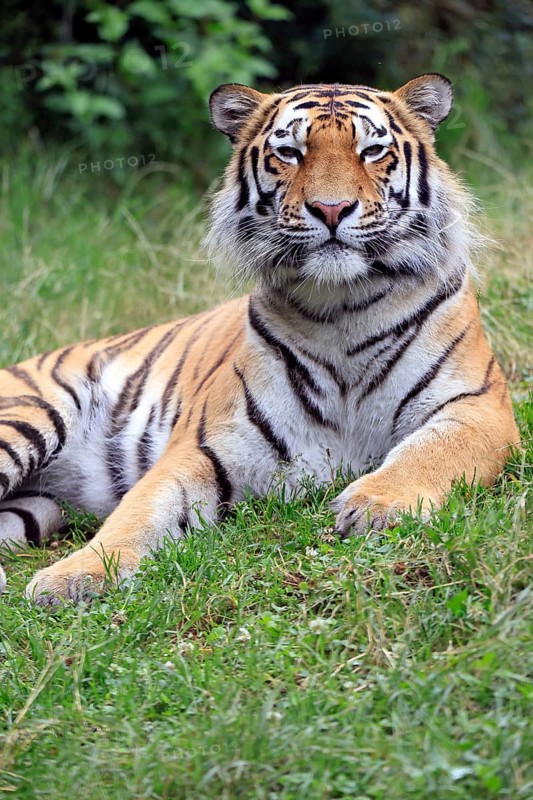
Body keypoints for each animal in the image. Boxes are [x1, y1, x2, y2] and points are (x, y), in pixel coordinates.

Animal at [0, 73, 518, 604]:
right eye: (289, 152)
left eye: (372, 150)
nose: (331, 209)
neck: (344, 306)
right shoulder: (204, 446)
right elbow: (141, 510)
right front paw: (75, 575)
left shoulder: (480, 407)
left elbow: (430, 453)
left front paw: (376, 505)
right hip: (30, 414)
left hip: (35, 506)